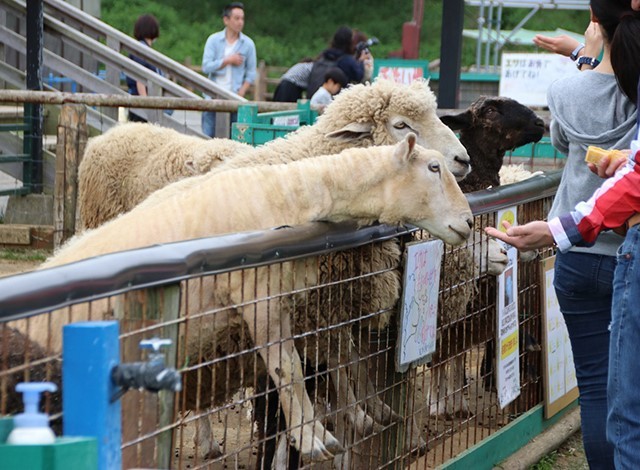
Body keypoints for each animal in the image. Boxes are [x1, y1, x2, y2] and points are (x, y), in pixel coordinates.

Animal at [16, 135, 476, 462]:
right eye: (434, 167)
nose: (470, 222)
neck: (285, 194)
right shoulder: (258, 295)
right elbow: (288, 368)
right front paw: (312, 439)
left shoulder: (286, 302)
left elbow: (305, 363)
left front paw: (327, 427)